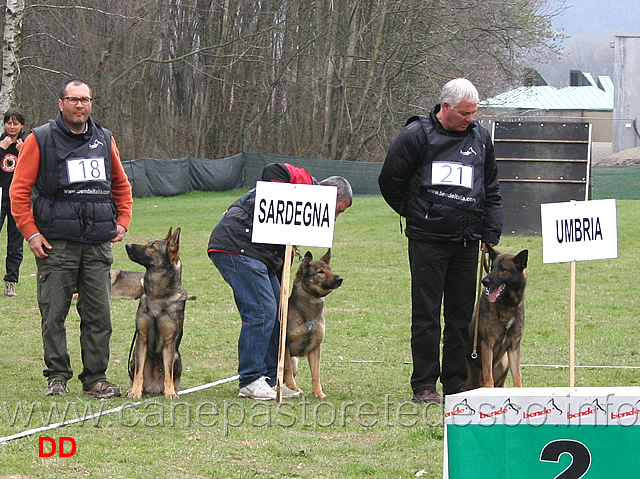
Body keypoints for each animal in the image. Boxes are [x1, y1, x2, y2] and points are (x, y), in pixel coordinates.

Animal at [125, 227, 195, 400]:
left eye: (152, 246)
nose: (127, 245)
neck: (158, 296)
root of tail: (154, 387)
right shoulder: (141, 338)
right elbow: (138, 374)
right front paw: (135, 392)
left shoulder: (169, 343)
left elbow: (168, 374)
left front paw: (170, 392)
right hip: (133, 358)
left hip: (177, 356)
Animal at [284, 249, 344, 400]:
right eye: (320, 272)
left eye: (330, 269)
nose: (340, 279)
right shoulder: (286, 346)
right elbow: (287, 370)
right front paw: (294, 388)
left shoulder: (316, 348)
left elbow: (316, 374)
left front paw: (318, 392)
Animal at [468, 248, 528, 390]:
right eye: (492, 268)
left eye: (503, 269)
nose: (484, 281)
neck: (507, 305)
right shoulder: (487, 343)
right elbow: (488, 376)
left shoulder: (514, 347)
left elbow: (517, 378)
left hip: (505, 361)